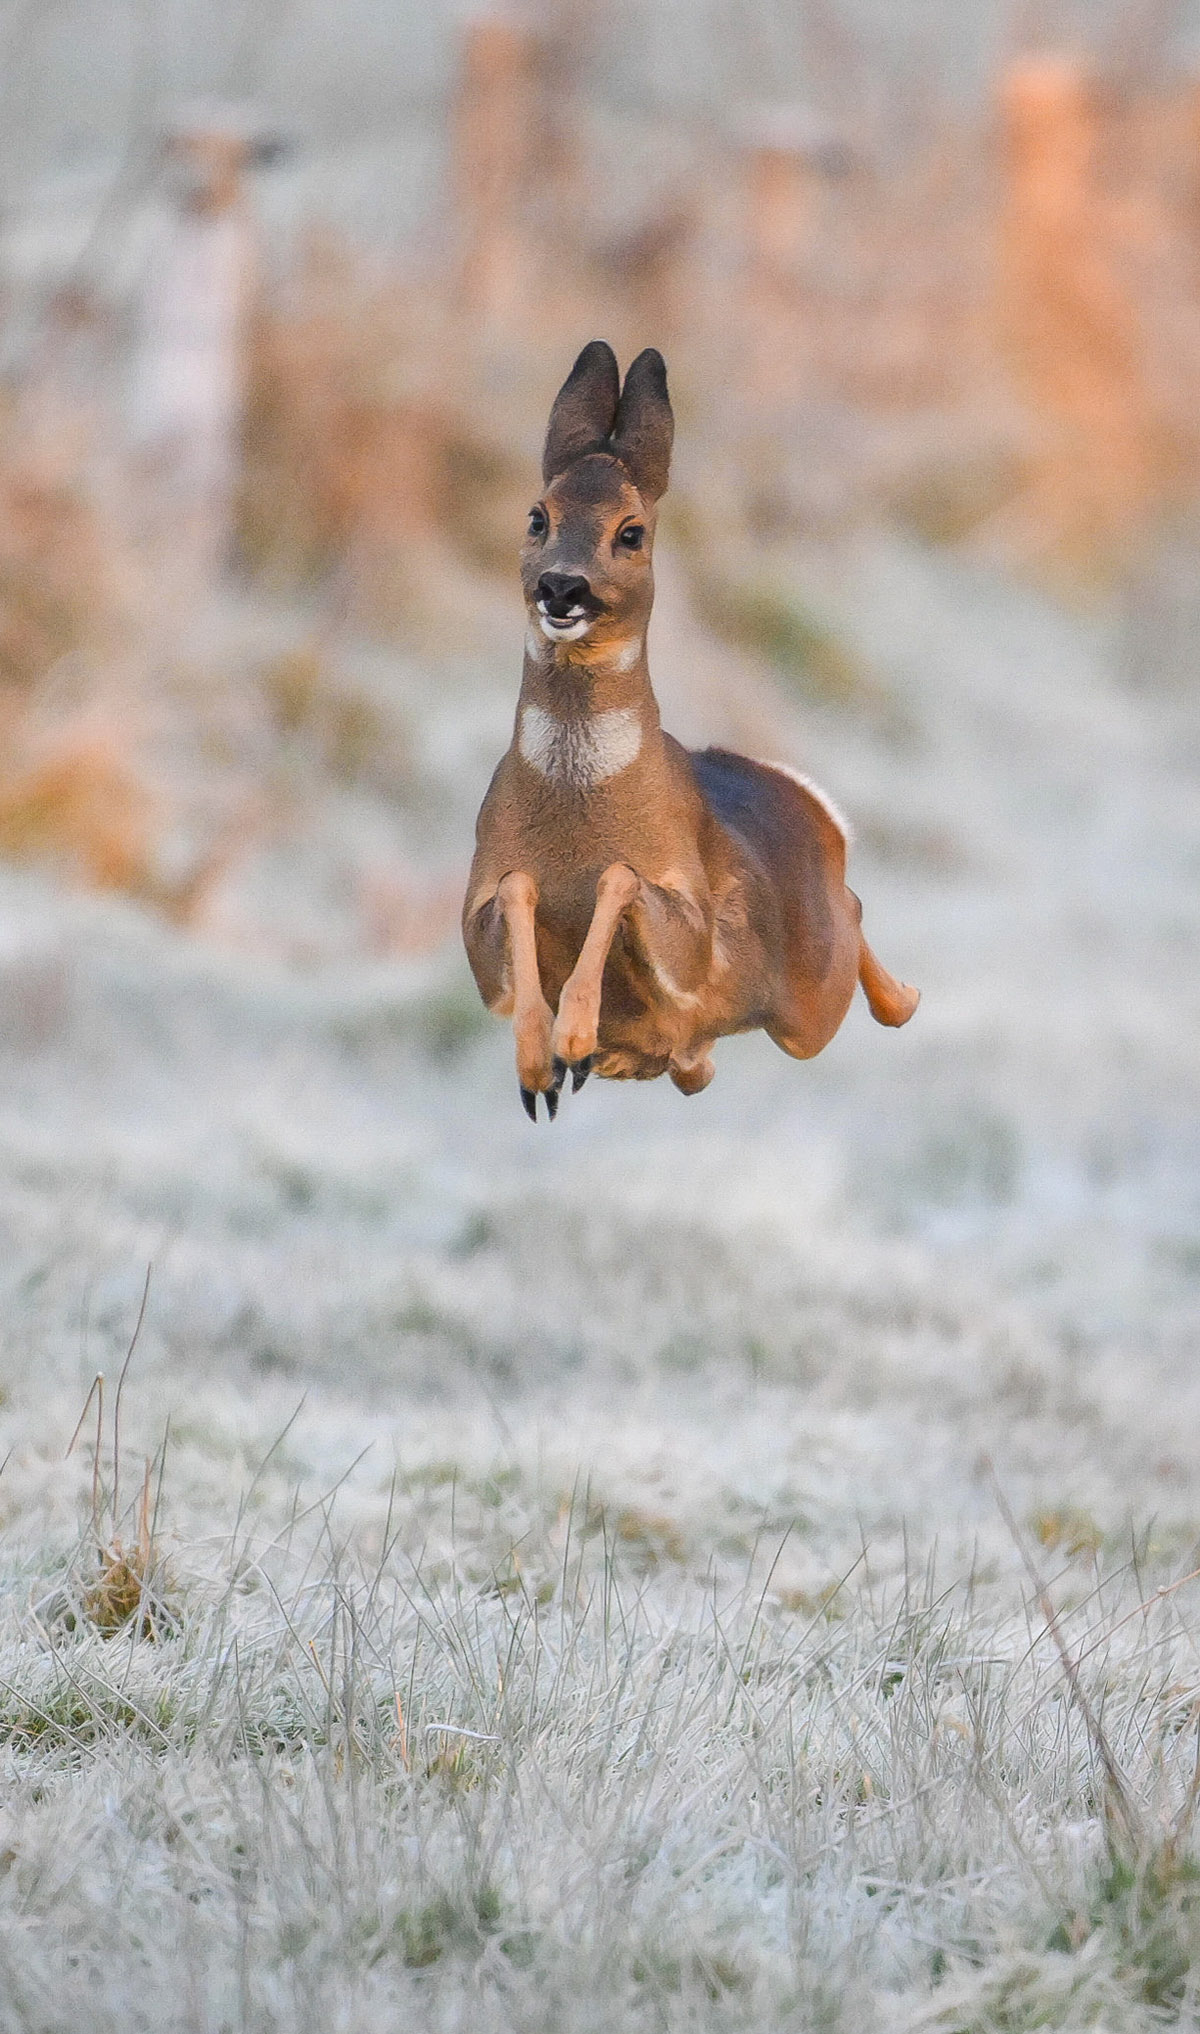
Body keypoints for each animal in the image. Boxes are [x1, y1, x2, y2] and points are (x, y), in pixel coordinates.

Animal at [462, 340, 918, 1120]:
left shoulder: (695, 929)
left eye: (632, 532)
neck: (577, 807)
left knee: (854, 921)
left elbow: (621, 875)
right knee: (695, 1068)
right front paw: (541, 1069)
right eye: (537, 516)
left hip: (807, 1007)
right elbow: (519, 891)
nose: (562, 588)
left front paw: (572, 1040)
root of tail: (811, 807)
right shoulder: (477, 909)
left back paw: (906, 998)